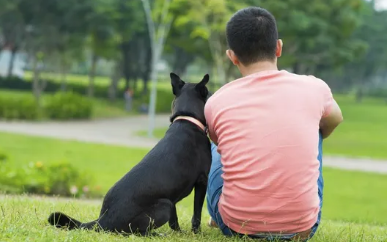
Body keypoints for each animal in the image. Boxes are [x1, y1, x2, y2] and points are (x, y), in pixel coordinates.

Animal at [48, 73, 214, 236]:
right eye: (207, 91)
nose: (213, 94)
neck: (186, 118)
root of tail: (101, 221)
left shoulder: (174, 196)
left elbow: (175, 221)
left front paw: (179, 232)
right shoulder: (202, 180)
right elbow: (196, 213)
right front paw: (196, 233)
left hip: (168, 203)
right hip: (164, 206)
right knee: (135, 232)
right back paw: (156, 234)